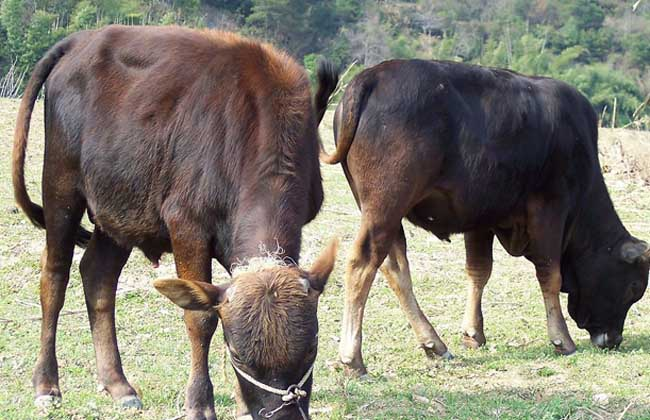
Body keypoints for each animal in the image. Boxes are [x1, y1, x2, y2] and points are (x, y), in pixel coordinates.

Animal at [12, 24, 340, 418]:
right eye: (238, 356)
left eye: (312, 347)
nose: (284, 412)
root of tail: (79, 41)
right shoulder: (187, 227)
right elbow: (200, 318)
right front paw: (199, 402)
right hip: (61, 188)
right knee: (55, 277)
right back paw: (47, 384)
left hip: (120, 211)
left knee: (97, 276)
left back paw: (118, 384)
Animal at [322, 58, 644, 374]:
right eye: (634, 287)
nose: (613, 339)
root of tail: (371, 76)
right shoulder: (550, 209)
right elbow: (550, 275)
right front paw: (561, 338)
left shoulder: (482, 220)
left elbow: (479, 271)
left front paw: (473, 333)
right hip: (385, 207)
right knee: (362, 264)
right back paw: (352, 357)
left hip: (384, 214)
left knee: (395, 267)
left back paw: (433, 343)